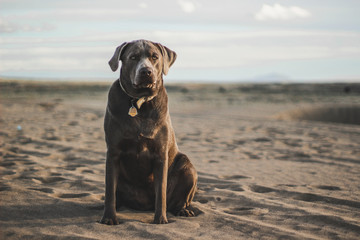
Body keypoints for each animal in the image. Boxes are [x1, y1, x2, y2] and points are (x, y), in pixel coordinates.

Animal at [100, 39, 198, 225]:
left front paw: (160, 219)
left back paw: (183, 210)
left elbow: (161, 193)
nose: (146, 71)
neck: (139, 103)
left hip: (188, 167)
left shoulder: (160, 154)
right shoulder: (113, 152)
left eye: (155, 57)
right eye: (133, 57)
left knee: (179, 199)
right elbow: (110, 192)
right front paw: (109, 218)